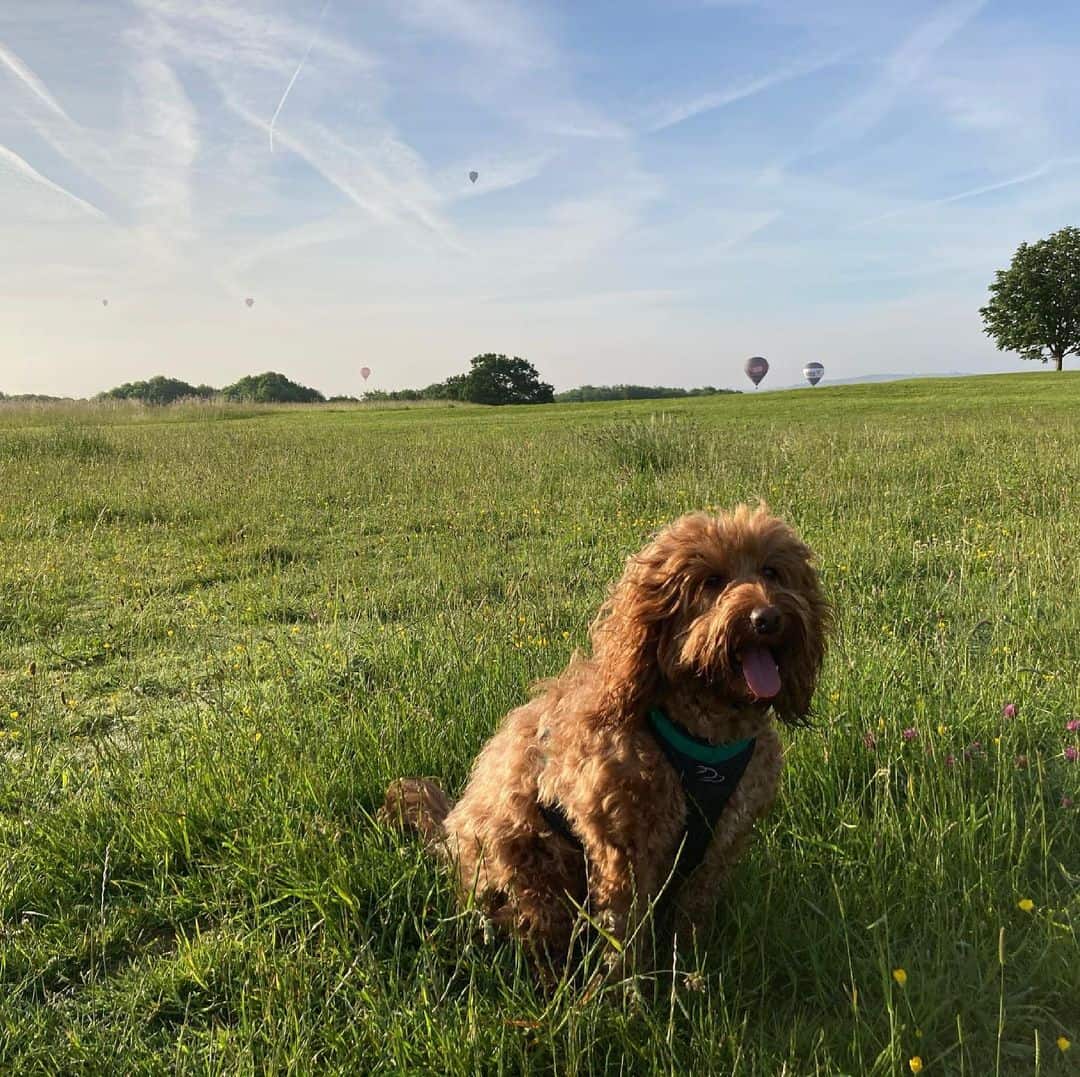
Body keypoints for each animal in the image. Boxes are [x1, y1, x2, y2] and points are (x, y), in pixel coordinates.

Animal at [384, 503, 829, 976]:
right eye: (711, 581)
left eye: (771, 571)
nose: (767, 618)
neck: (705, 735)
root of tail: (449, 833)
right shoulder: (625, 849)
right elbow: (624, 932)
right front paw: (625, 990)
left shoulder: (721, 843)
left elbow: (692, 917)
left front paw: (690, 970)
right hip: (529, 863)